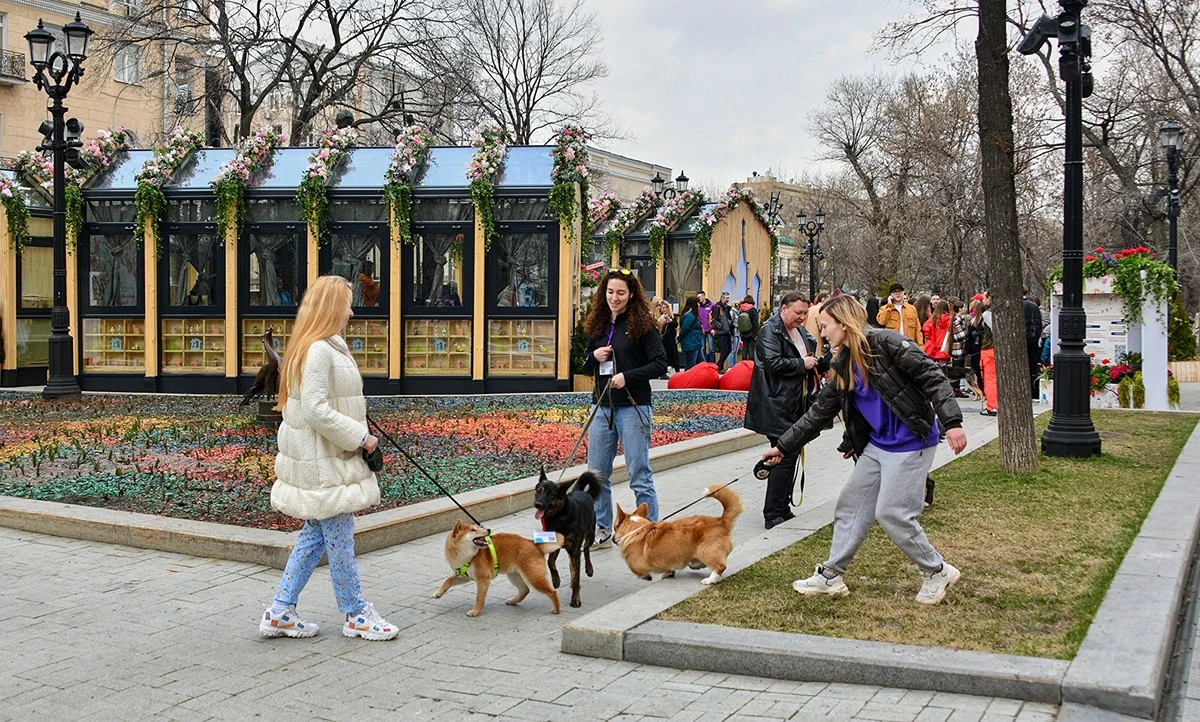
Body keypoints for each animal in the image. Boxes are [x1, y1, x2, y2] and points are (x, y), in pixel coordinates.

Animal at [434, 520, 564, 614]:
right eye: (472, 530)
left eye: (477, 528)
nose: (488, 529)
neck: (467, 555)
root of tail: (534, 544)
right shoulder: (464, 576)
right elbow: (448, 580)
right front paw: (439, 592)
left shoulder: (483, 579)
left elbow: (479, 598)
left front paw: (475, 611)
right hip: (514, 575)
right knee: (525, 590)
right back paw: (513, 601)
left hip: (533, 576)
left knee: (552, 591)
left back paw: (557, 609)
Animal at [537, 462, 604, 604]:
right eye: (539, 491)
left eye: (551, 494)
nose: (537, 504)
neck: (558, 517)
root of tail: (580, 491)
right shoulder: (554, 545)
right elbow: (550, 562)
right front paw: (556, 580)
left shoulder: (574, 550)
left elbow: (576, 578)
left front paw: (575, 600)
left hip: (590, 535)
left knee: (586, 549)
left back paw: (589, 568)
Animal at [614, 479, 744, 582]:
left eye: (614, 528)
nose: (612, 538)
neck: (637, 528)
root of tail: (721, 521)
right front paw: (669, 573)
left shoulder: (636, 565)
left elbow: (639, 573)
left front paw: (647, 577)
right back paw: (696, 565)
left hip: (706, 551)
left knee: (720, 566)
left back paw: (709, 580)